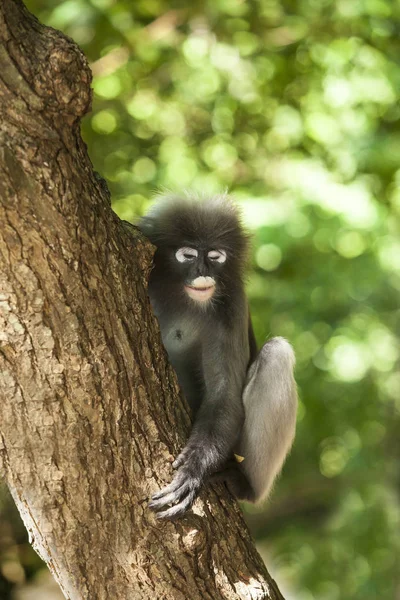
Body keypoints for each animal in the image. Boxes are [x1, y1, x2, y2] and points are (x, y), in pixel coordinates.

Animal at [138, 195, 296, 516]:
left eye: (215, 256)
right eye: (188, 255)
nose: (203, 272)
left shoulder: (232, 301)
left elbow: (224, 396)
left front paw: (193, 470)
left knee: (277, 354)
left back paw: (245, 484)